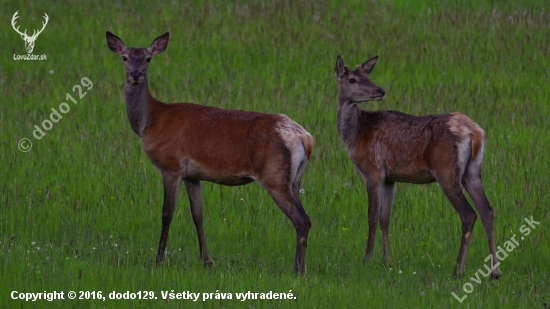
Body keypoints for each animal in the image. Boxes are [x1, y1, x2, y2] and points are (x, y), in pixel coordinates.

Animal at [106, 31, 314, 272]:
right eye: (125, 57)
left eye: (148, 58)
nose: (136, 74)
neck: (151, 122)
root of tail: (304, 137)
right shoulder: (192, 175)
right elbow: (198, 214)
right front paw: (207, 260)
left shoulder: (170, 166)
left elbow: (167, 214)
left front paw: (158, 260)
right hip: (295, 180)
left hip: (274, 175)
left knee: (301, 219)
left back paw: (297, 270)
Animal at [336, 54, 504, 278]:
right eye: (353, 79)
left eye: (366, 77)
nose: (380, 91)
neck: (356, 133)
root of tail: (474, 132)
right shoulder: (390, 178)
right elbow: (385, 218)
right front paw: (387, 261)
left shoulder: (373, 172)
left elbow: (371, 216)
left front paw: (367, 260)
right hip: (473, 171)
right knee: (487, 211)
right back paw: (495, 271)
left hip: (446, 170)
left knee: (469, 214)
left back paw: (458, 268)